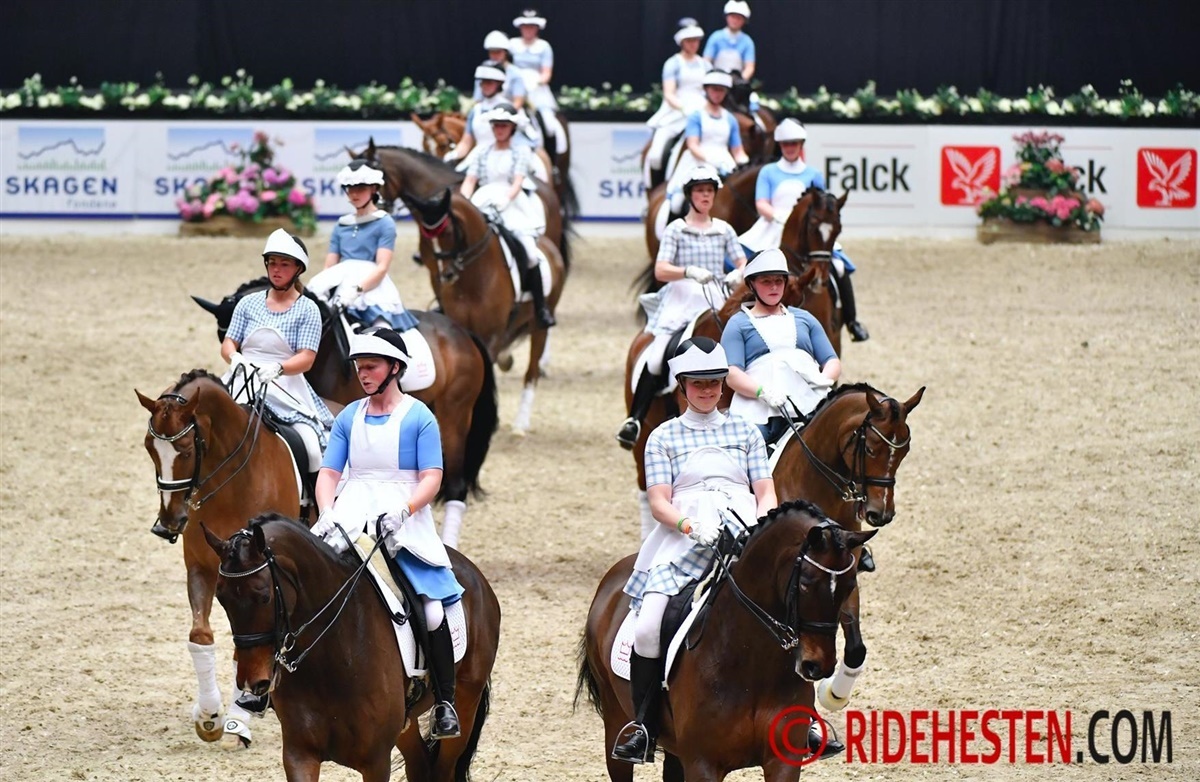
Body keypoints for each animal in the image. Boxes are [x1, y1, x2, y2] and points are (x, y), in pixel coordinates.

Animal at [136, 369, 300, 746]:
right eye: (150, 447)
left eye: (184, 450)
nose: (169, 522)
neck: (233, 479)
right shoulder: (202, 567)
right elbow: (201, 636)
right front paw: (209, 714)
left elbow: (250, 646)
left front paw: (241, 717)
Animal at [192, 280, 498, 542]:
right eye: (225, 337)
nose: (243, 377)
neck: (327, 353)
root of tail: (461, 332)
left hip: (454, 416)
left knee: (456, 486)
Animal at [205, 512, 501, 781]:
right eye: (221, 598)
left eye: (264, 596)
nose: (251, 682)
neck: (331, 655)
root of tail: (473, 572)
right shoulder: (299, 754)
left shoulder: (376, 761)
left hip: (465, 701)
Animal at [402, 185, 567, 434]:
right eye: (424, 237)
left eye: (447, 232)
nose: (446, 275)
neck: (474, 277)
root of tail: (549, 246)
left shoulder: (492, 334)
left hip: (541, 326)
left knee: (531, 372)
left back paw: (521, 423)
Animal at [576, 500, 876, 781]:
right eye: (805, 583)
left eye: (851, 585)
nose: (818, 666)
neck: (751, 661)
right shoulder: (703, 765)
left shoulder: (783, 761)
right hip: (616, 719)